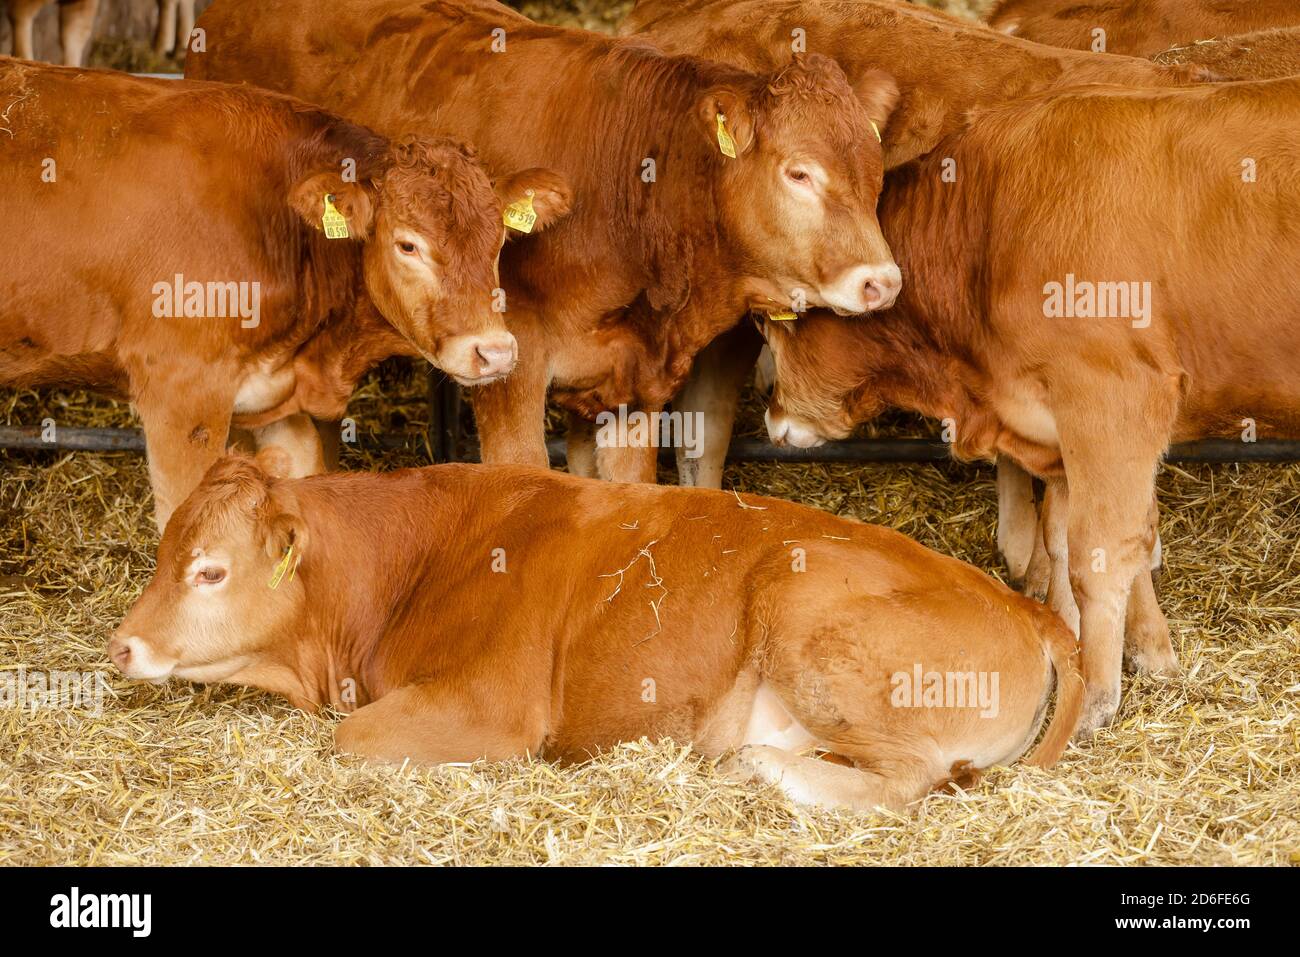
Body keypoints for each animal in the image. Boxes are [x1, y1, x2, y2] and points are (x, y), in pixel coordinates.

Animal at [114, 452, 1086, 811]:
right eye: (164, 552)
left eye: (209, 570)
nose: (122, 645)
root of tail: (1027, 605)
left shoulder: (490, 706)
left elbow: (350, 739)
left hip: (809, 606)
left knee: (905, 780)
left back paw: (755, 763)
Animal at [759, 76, 1300, 733]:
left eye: (770, 326)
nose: (769, 415)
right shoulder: (1061, 429)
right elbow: (1089, 538)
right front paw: (1148, 651)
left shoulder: (1112, 398)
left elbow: (1099, 552)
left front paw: (1096, 698)